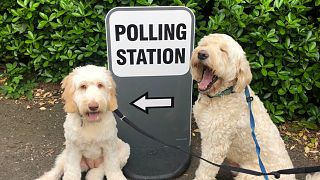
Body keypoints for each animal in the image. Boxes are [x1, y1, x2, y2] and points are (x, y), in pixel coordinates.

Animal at [190, 33, 318, 179]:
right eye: (204, 44)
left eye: (223, 51)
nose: (202, 54)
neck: (221, 95)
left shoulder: (216, 145)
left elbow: (205, 171)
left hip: (250, 174)